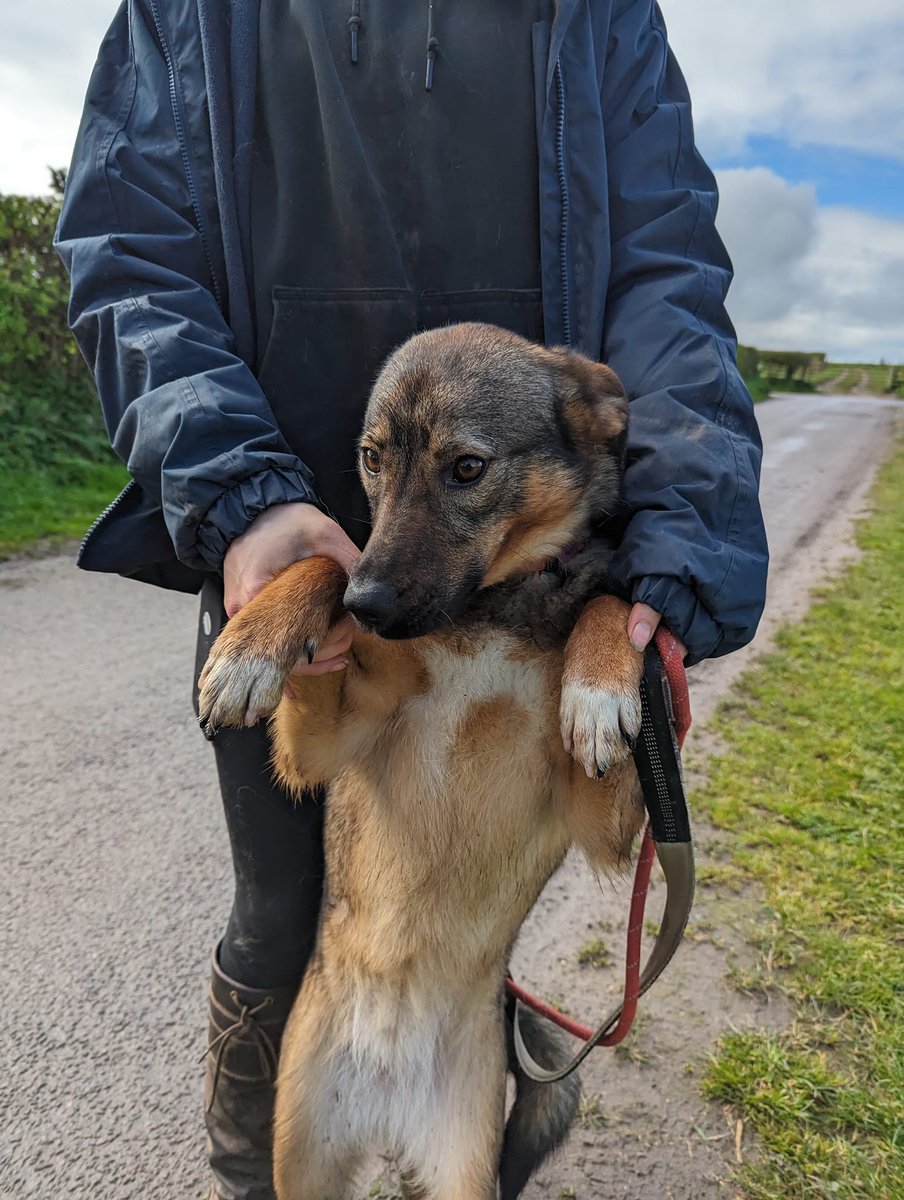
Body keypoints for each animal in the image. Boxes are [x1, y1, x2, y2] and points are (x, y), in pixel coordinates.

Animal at [200, 324, 643, 1195]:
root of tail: (386, 1109)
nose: (367, 608)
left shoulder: (602, 821)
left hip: (463, 1168)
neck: (488, 612)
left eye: (466, 468)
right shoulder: (322, 741)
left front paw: (602, 680)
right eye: (373, 459)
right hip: (302, 1161)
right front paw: (251, 647)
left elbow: (614, 598)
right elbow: (321, 561)